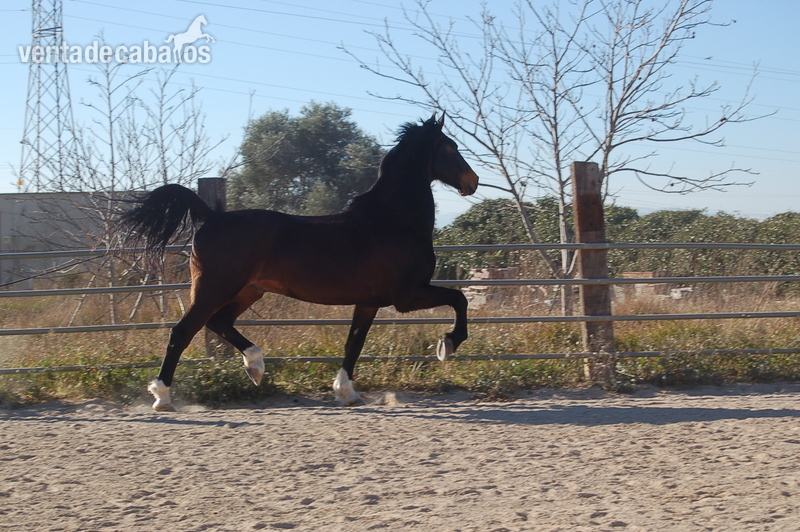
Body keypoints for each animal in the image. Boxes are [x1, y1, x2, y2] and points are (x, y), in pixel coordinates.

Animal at [118, 114, 479, 411]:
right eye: (450, 148)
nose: (472, 182)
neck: (391, 222)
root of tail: (211, 216)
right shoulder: (406, 296)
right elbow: (459, 298)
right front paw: (447, 345)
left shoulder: (369, 302)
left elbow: (354, 342)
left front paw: (346, 392)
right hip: (215, 288)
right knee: (183, 331)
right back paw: (163, 397)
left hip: (248, 291)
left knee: (218, 323)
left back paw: (255, 367)